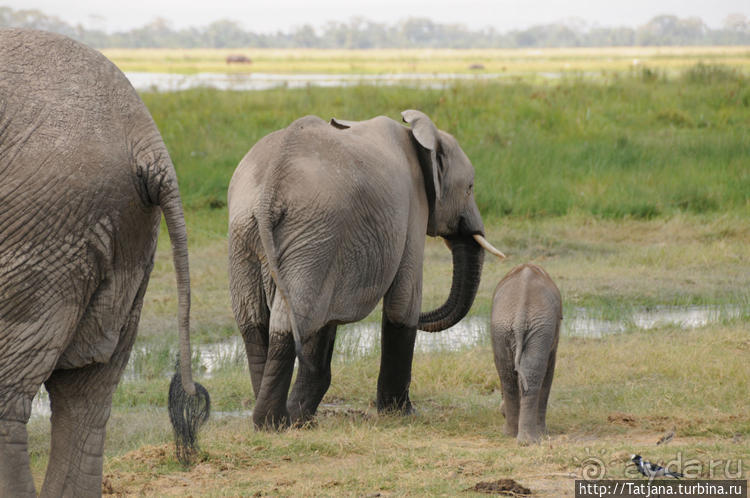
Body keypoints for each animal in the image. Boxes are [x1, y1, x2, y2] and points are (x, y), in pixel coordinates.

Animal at [229, 111, 506, 430]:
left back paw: (276, 420)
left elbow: (326, 321)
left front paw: (303, 415)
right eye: (470, 188)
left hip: (247, 234)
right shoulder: (412, 208)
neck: (416, 137)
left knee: (254, 321)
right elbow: (403, 303)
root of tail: (269, 191)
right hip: (311, 236)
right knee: (292, 318)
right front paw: (403, 414)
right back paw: (275, 423)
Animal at [494, 264, 564, 444]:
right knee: (530, 373)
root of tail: (520, 315)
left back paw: (518, 437)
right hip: (536, 328)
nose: (500, 412)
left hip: (506, 328)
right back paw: (526, 437)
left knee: (508, 373)